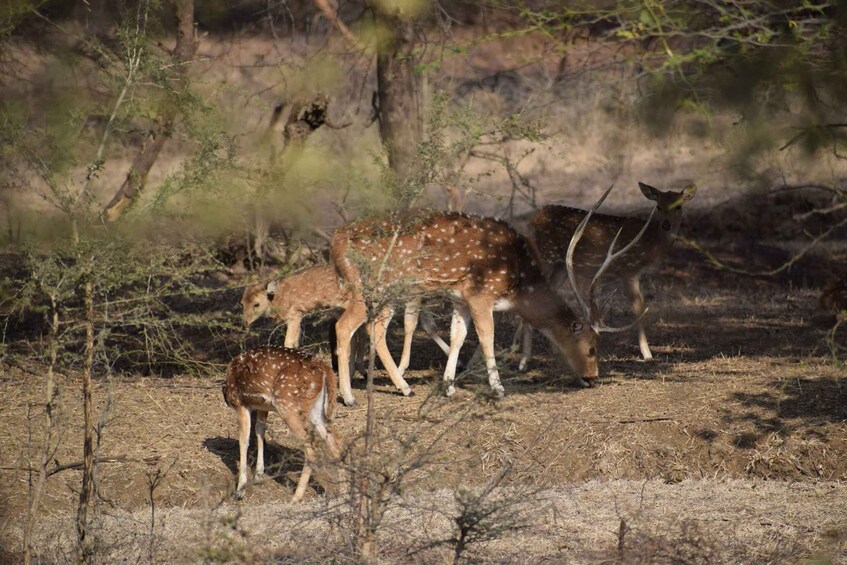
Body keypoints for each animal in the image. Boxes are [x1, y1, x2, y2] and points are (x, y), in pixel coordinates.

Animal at [225, 346, 348, 500]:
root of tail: (325, 369)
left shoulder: (240, 403)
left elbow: (243, 441)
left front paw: (240, 490)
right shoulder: (262, 407)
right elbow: (260, 432)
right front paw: (258, 476)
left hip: (287, 405)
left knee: (311, 449)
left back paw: (296, 497)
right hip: (317, 410)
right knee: (337, 444)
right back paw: (343, 492)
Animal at [328, 206, 652, 400]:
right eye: (592, 347)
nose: (592, 377)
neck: (519, 282)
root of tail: (336, 240)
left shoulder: (461, 298)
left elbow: (458, 336)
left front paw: (449, 385)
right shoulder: (481, 294)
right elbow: (487, 336)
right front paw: (498, 388)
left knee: (366, 328)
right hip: (377, 285)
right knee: (348, 326)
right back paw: (359, 395)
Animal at [528, 181, 704, 360]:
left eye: (678, 206)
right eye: (658, 206)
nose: (666, 225)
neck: (651, 245)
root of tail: (534, 217)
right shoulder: (628, 270)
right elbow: (637, 307)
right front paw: (647, 353)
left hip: (561, 267)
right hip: (545, 256)